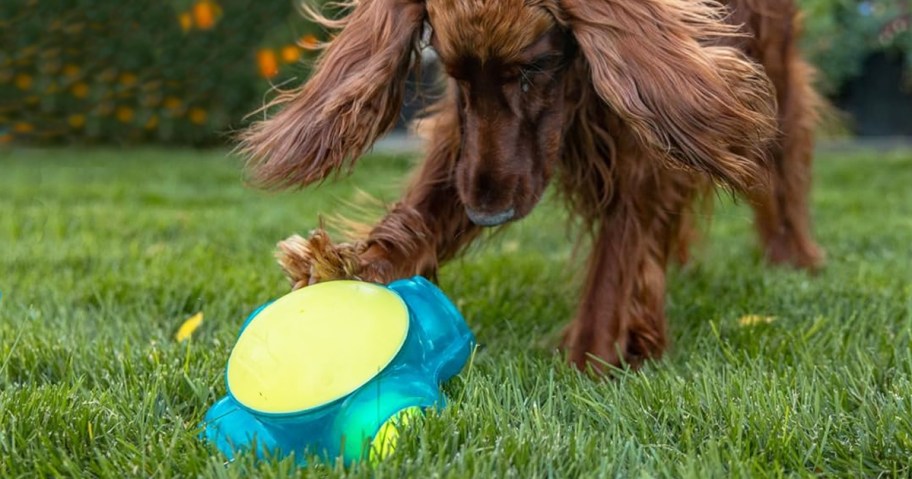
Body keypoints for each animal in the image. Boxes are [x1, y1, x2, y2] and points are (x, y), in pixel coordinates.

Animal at [239, 0, 824, 374]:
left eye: (533, 68)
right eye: (453, 73)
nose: (487, 216)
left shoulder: (649, 105)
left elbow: (620, 250)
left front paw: (591, 360)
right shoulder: (469, 141)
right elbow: (426, 207)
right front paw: (349, 265)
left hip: (774, 70)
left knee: (784, 171)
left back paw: (794, 256)